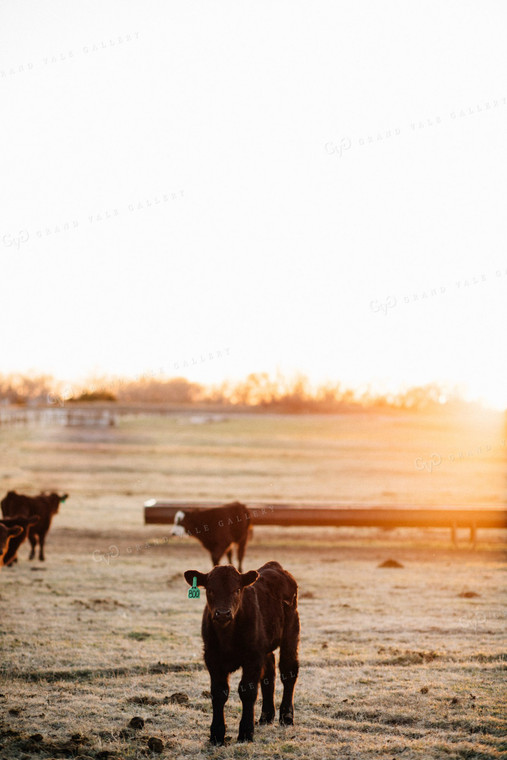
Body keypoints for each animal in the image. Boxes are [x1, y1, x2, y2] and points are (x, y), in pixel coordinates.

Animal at [185, 560, 300, 744]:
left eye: (237, 590)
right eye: (210, 590)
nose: (223, 613)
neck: (227, 636)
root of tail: (275, 566)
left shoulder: (252, 657)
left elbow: (247, 691)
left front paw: (246, 733)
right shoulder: (212, 658)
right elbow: (218, 692)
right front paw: (216, 735)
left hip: (291, 631)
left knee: (288, 671)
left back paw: (286, 717)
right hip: (264, 646)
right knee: (269, 673)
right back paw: (266, 717)